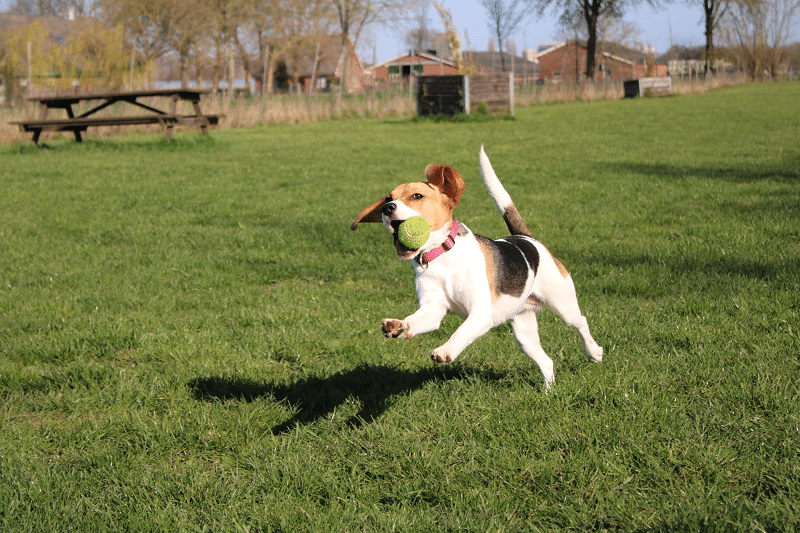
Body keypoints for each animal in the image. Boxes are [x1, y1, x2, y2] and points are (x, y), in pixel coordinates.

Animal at [346, 145, 604, 386]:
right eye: (389, 198)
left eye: (417, 196)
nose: (387, 208)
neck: (442, 257)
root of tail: (527, 239)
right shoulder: (433, 310)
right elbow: (415, 320)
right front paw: (396, 326)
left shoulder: (480, 314)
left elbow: (462, 331)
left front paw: (445, 351)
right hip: (524, 332)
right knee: (546, 361)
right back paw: (549, 393)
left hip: (562, 303)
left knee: (581, 322)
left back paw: (594, 352)